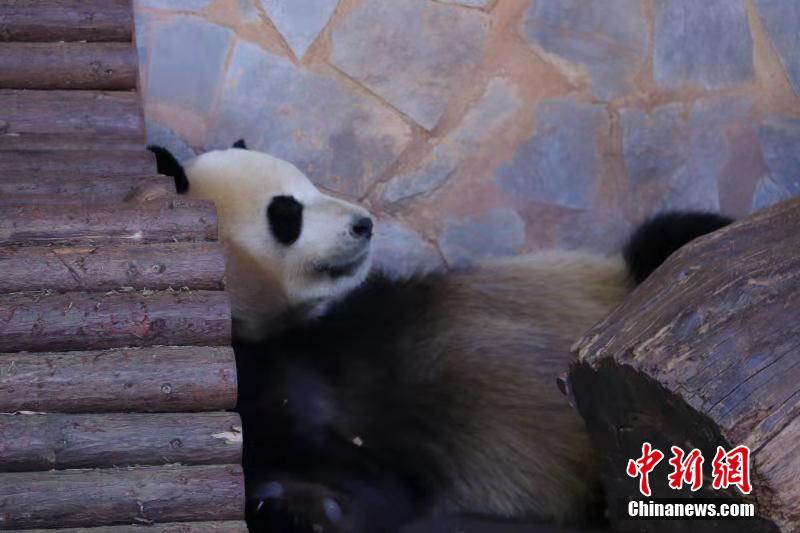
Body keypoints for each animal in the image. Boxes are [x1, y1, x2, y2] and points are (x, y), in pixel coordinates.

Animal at [147, 142, 728, 532]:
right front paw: (287, 505)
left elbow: (385, 482)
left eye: (312, 185)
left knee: (674, 238)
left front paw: (302, 507)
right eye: (286, 212)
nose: (364, 224)